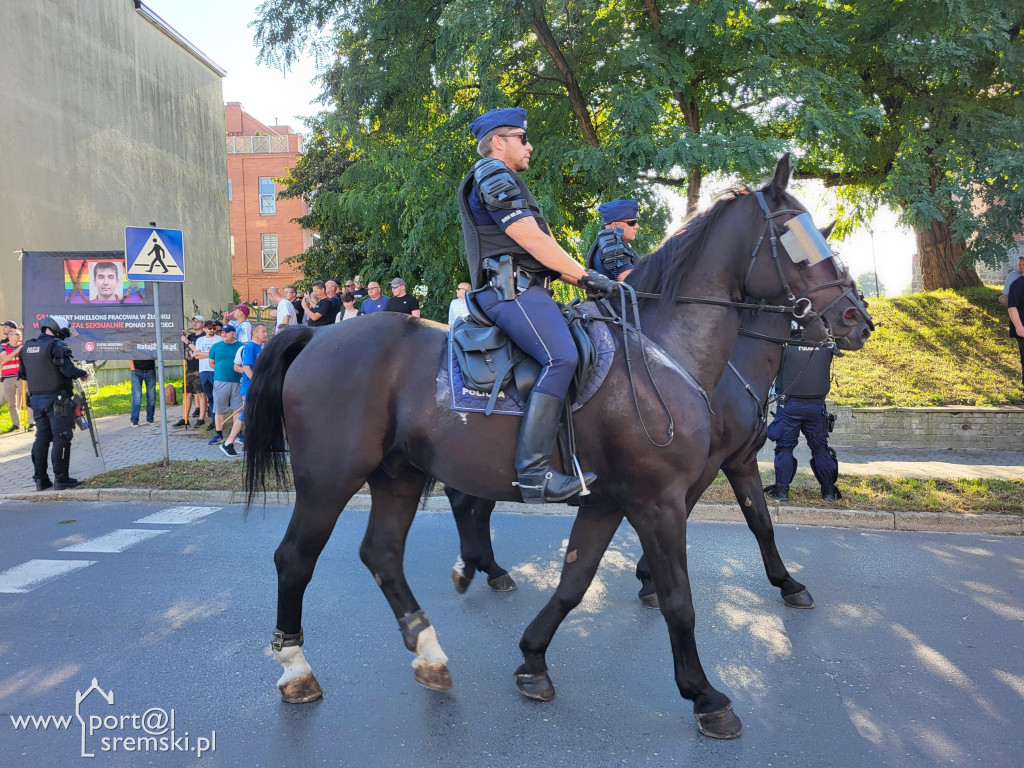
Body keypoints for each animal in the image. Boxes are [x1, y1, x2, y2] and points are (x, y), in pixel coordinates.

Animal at [241, 156, 872, 741]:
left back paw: (431, 650)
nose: (855, 318)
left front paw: (532, 660)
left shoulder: (611, 500)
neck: (666, 350)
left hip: (399, 475)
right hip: (328, 480)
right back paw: (297, 669)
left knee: (383, 554)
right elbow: (680, 596)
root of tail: (314, 334)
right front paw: (704, 694)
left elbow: (575, 580)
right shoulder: (661, 498)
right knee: (294, 558)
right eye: (795, 233)